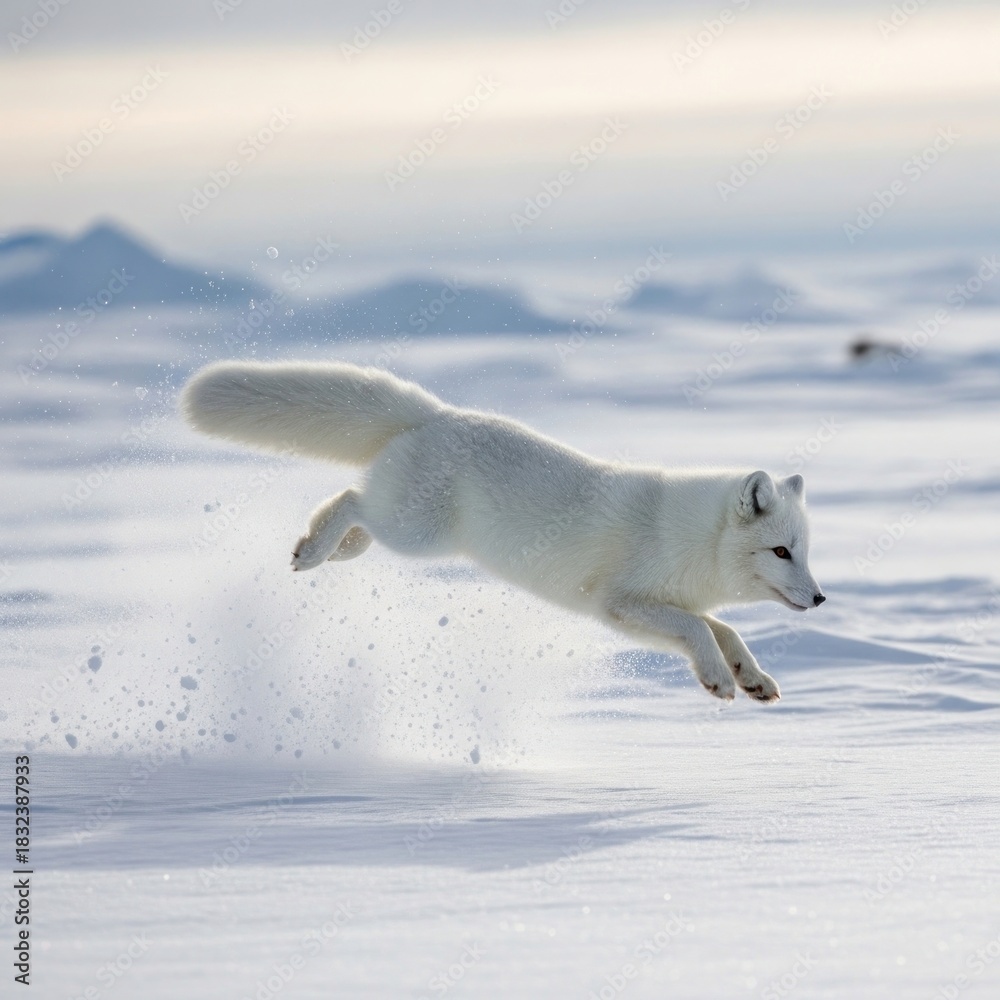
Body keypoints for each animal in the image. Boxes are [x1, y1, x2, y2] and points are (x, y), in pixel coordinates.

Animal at [180, 361, 825, 702]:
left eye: (804, 552)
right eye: (780, 551)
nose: (820, 597)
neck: (692, 539)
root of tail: (438, 415)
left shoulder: (640, 612)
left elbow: (722, 629)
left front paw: (750, 678)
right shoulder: (619, 602)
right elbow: (700, 629)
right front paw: (719, 679)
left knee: (356, 506)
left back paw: (337, 551)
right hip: (418, 532)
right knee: (352, 499)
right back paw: (314, 550)